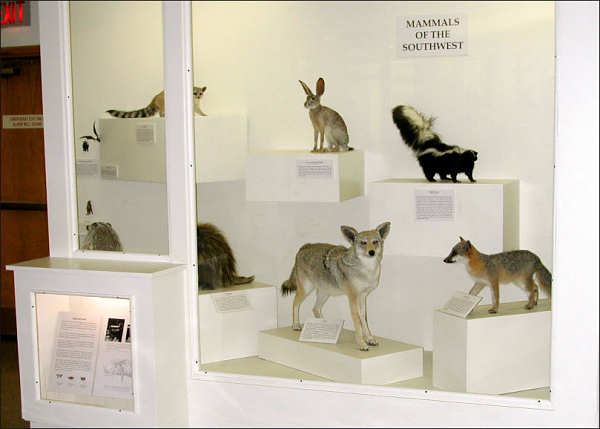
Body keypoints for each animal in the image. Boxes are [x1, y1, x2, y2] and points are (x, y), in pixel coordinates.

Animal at [282, 222, 392, 350]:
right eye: (363, 243)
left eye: (375, 242)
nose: (371, 252)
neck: (366, 270)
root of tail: (304, 246)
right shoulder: (353, 298)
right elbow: (358, 322)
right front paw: (361, 343)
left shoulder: (363, 296)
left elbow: (364, 319)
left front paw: (369, 339)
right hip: (306, 290)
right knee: (295, 303)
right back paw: (296, 325)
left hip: (325, 293)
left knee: (315, 308)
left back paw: (323, 326)